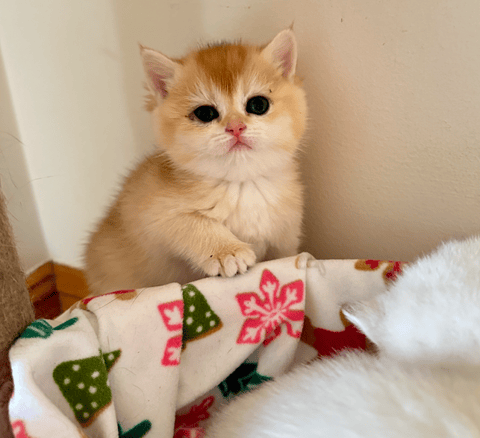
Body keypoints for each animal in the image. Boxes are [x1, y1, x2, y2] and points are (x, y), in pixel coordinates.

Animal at [83, 29, 308, 296]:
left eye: (258, 104)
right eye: (205, 113)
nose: (235, 127)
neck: (241, 185)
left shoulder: (285, 239)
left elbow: (283, 257)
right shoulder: (147, 212)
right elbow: (192, 221)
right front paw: (227, 251)